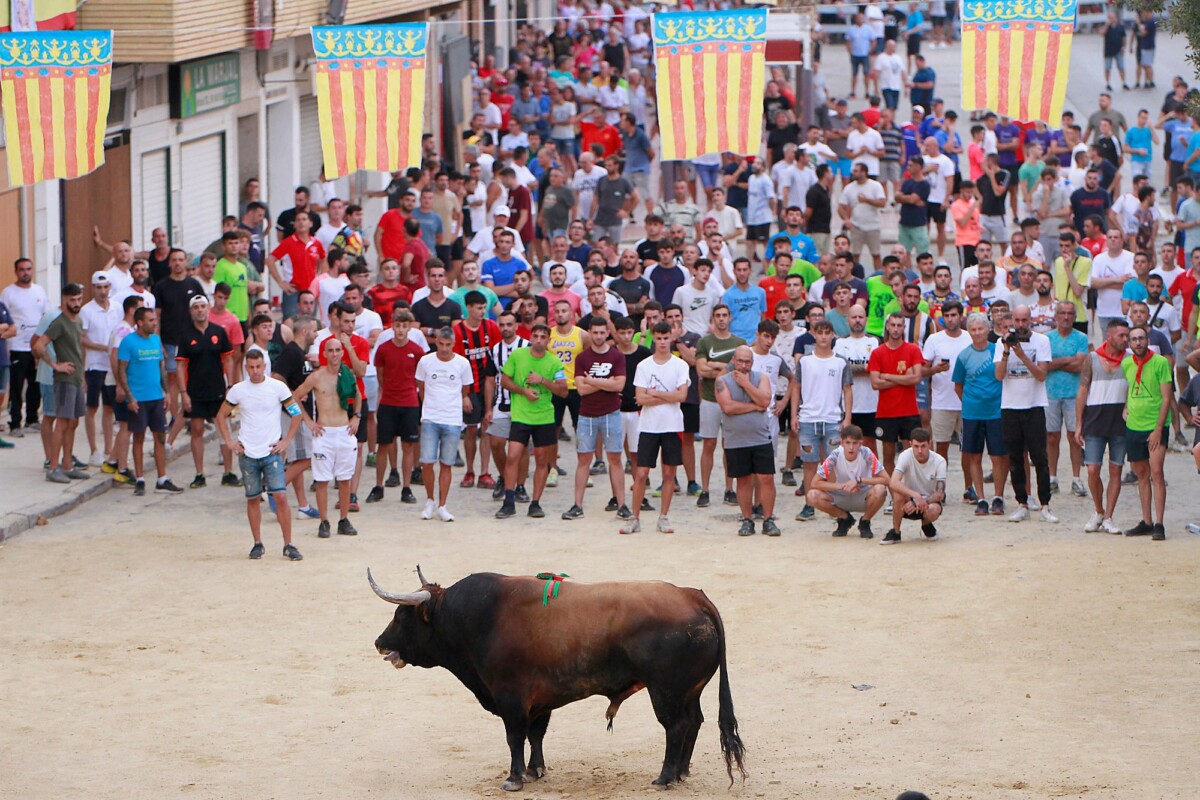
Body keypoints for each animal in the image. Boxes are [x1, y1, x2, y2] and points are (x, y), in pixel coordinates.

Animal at [369, 566, 744, 791]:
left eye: (402, 616)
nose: (379, 642)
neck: (478, 618)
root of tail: (691, 595)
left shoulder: (511, 698)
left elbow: (515, 737)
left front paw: (514, 778)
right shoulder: (540, 700)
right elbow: (536, 735)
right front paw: (536, 771)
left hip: (665, 691)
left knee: (675, 727)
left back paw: (665, 777)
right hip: (689, 690)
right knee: (694, 722)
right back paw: (681, 772)